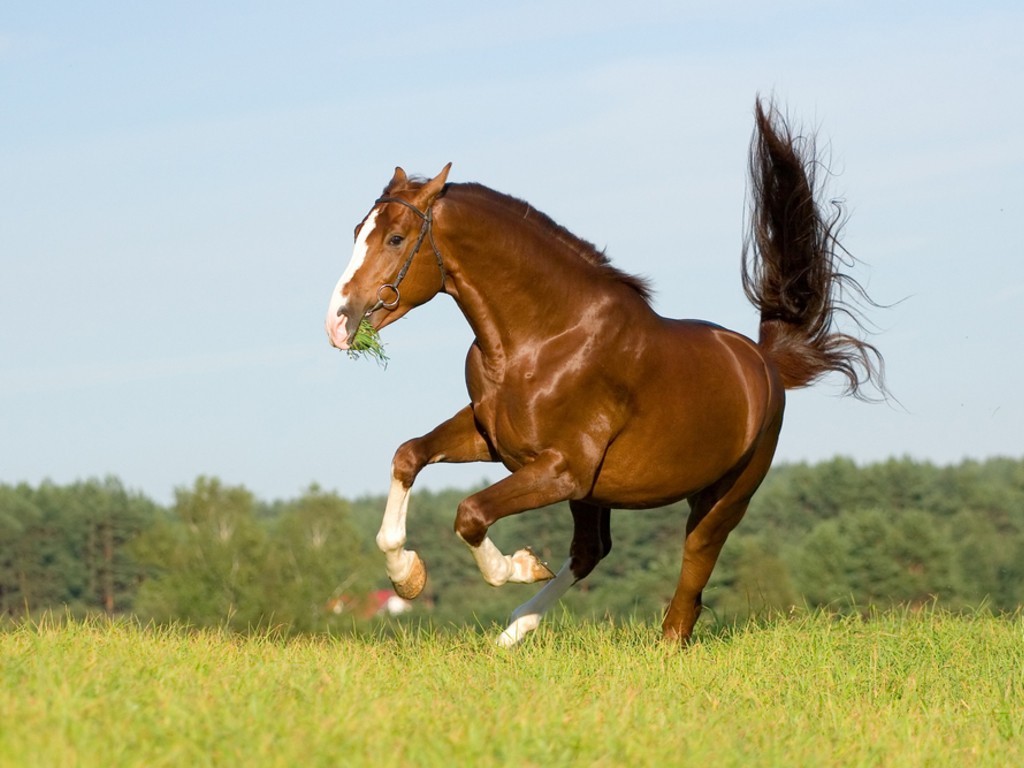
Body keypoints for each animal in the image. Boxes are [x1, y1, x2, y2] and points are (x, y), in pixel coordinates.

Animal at [324, 98, 884, 646]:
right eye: (356, 233)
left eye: (396, 239)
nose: (338, 321)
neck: (542, 339)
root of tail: (765, 363)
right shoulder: (496, 440)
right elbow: (408, 456)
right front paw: (407, 576)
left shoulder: (563, 469)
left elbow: (471, 513)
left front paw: (519, 565)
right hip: (598, 495)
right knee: (591, 551)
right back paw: (512, 635)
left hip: (725, 495)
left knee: (693, 564)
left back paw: (658, 640)